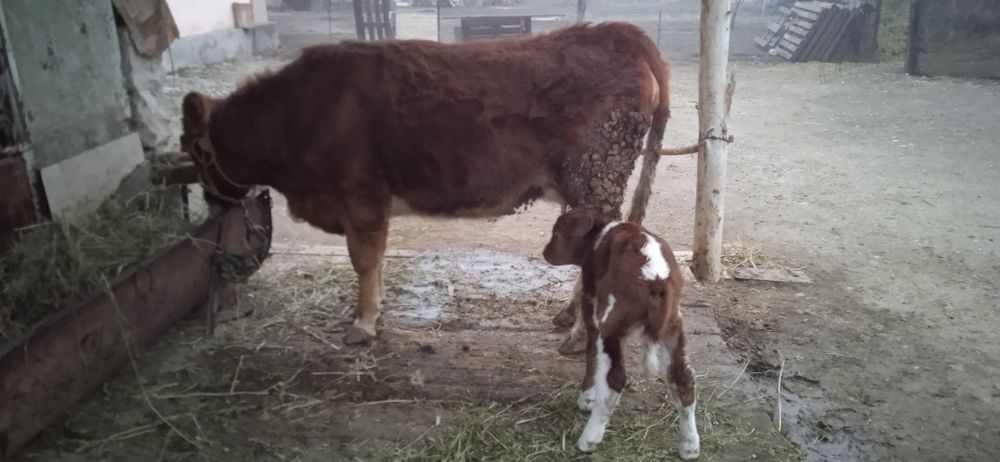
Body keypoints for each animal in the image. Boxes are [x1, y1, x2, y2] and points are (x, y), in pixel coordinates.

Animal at [180, 22, 670, 346]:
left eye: (190, 149)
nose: (209, 202)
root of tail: (617, 31)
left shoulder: (360, 196)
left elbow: (363, 260)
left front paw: (362, 324)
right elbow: (375, 261)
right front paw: (373, 311)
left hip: (596, 180)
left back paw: (578, 332)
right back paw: (568, 315)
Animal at [542, 207, 699, 459]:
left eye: (557, 232)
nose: (545, 252)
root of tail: (656, 281)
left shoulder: (591, 302)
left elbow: (591, 355)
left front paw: (586, 398)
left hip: (611, 324)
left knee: (614, 381)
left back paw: (588, 440)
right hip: (673, 328)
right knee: (683, 379)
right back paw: (690, 446)